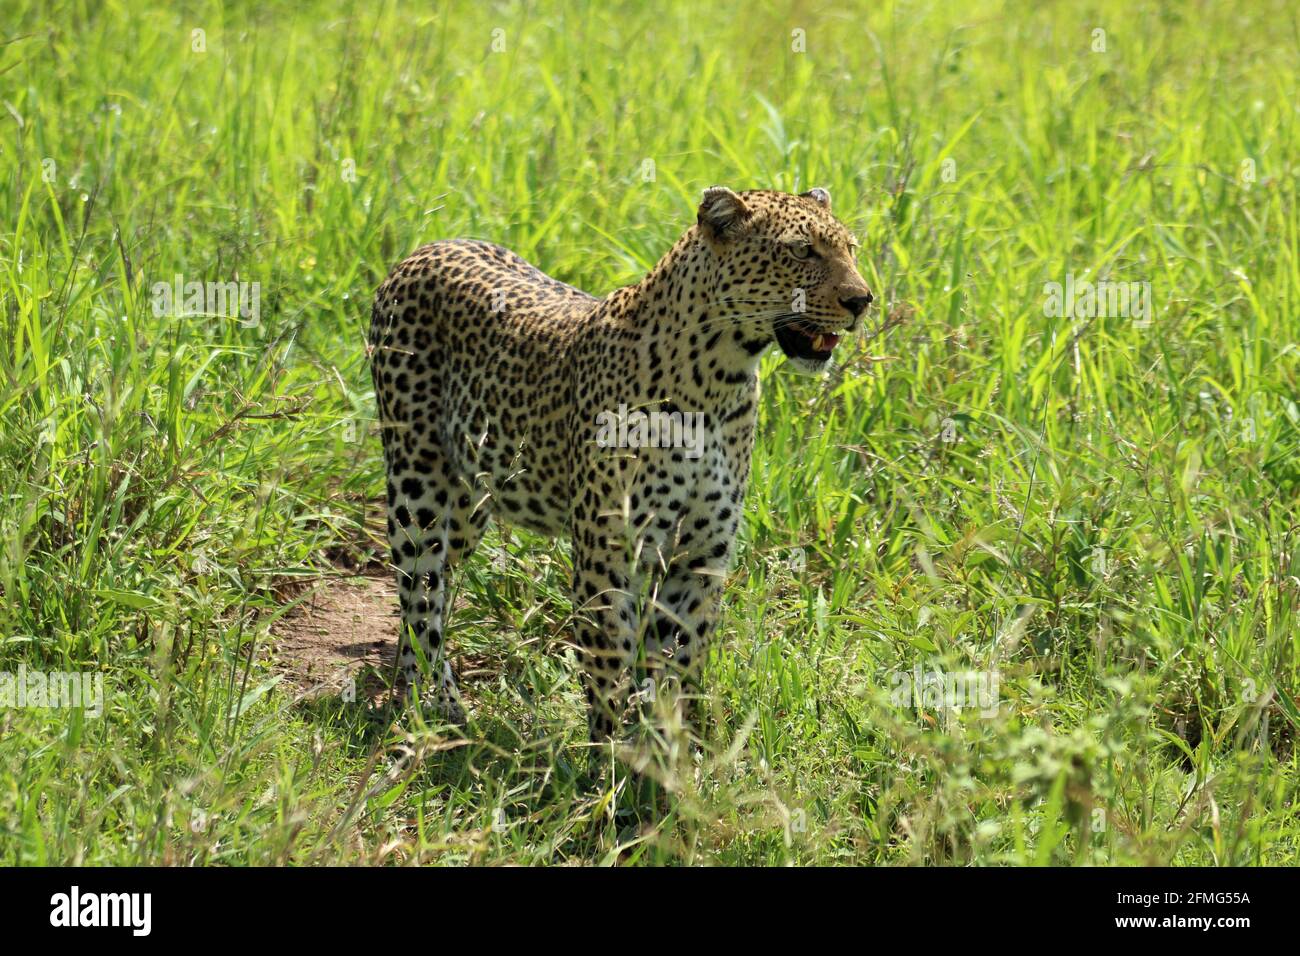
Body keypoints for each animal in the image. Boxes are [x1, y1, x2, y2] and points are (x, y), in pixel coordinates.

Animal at [366, 184, 873, 738]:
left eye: (850, 249)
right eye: (801, 252)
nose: (863, 300)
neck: (720, 377)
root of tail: (427, 247)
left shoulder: (699, 555)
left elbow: (676, 665)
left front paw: (670, 748)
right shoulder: (608, 548)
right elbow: (610, 661)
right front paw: (610, 752)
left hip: (469, 501)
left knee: (434, 587)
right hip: (418, 487)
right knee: (420, 595)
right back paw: (432, 706)